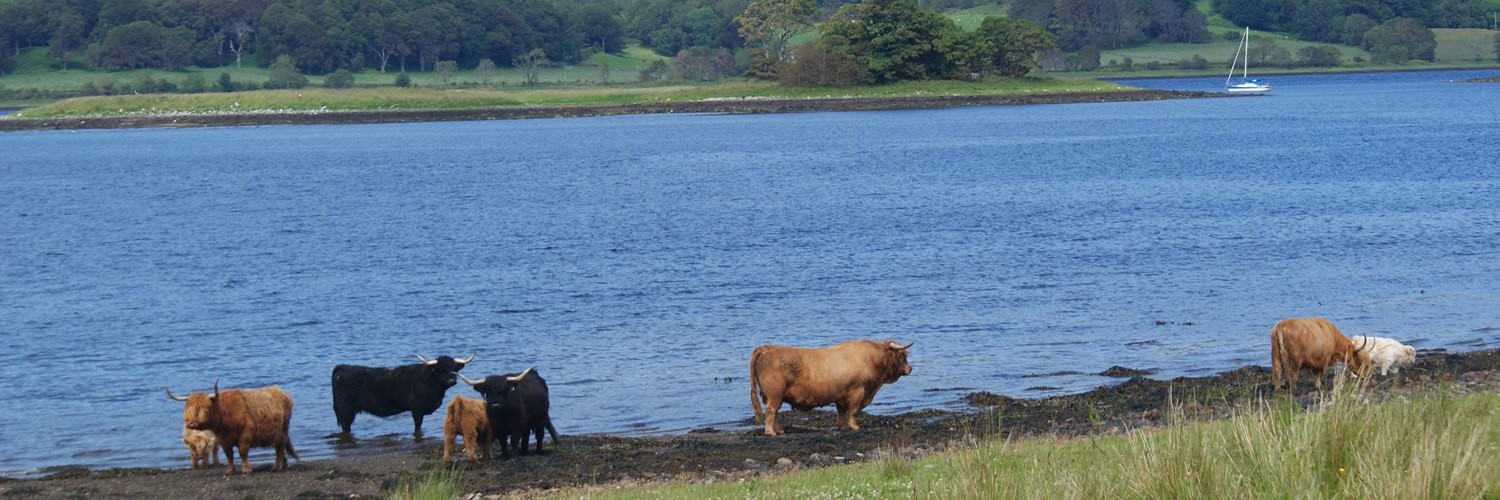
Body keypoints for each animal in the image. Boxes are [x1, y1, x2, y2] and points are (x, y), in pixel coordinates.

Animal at [164, 381, 297, 475]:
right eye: (188, 409)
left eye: (204, 409)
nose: (191, 423)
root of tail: (280, 391)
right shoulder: (223, 439)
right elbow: (229, 454)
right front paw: (230, 470)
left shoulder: (246, 433)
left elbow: (242, 452)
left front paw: (246, 470)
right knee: (279, 447)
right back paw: (283, 464)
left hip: (282, 429)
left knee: (280, 446)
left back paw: (277, 466)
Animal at [331, 352, 473, 436]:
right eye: (439, 369)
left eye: (454, 369)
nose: (452, 380)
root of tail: (343, 367)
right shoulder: (417, 410)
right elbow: (417, 426)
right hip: (345, 410)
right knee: (345, 426)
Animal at [749, 339, 913, 436]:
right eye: (901, 356)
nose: (910, 369)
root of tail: (767, 348)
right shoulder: (858, 391)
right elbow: (853, 411)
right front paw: (854, 426)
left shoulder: (841, 395)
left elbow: (841, 412)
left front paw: (842, 426)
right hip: (775, 395)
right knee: (771, 411)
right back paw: (770, 432)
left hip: (773, 396)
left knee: (775, 412)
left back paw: (779, 430)